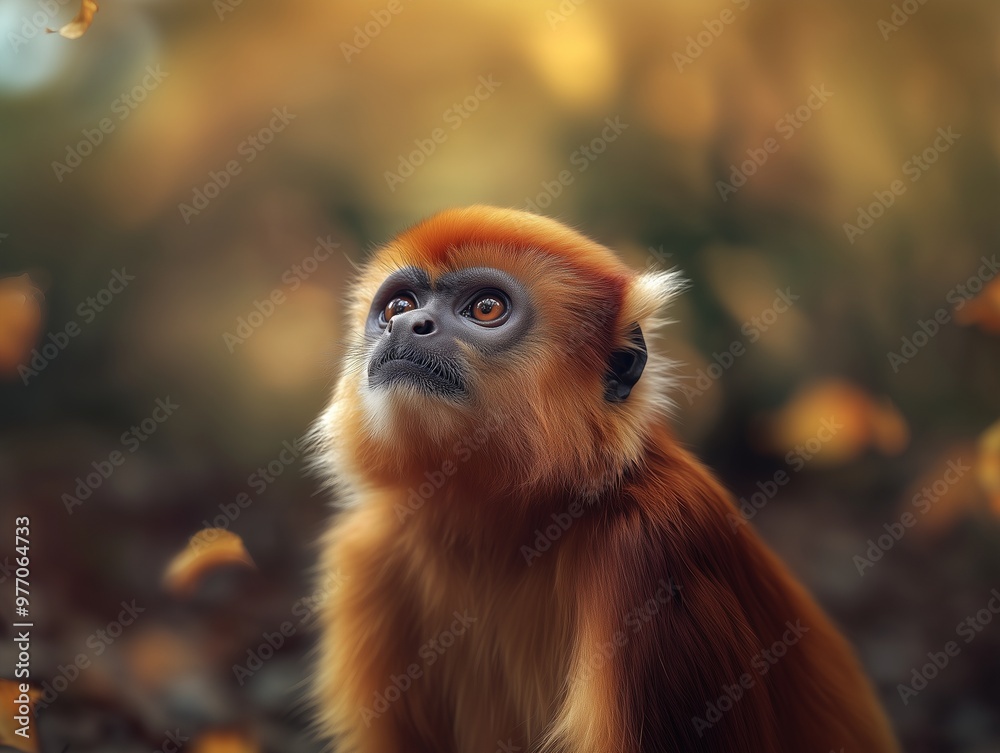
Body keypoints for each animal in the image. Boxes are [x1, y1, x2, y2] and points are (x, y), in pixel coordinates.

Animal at [310, 206, 899, 753]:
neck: (503, 530)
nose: (407, 326)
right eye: (399, 306)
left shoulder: (652, 551)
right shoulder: (369, 553)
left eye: (485, 308)